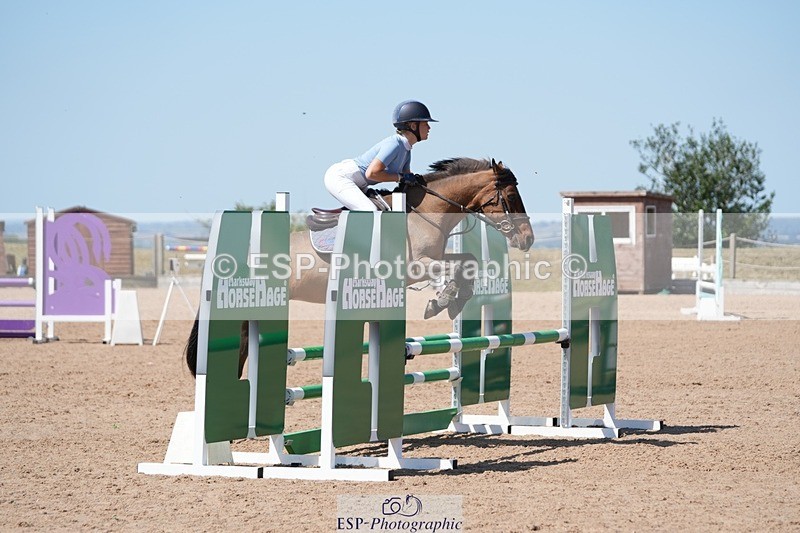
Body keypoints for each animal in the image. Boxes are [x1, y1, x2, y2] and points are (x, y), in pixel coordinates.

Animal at [185, 157, 534, 376]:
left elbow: (468, 263)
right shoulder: (416, 266)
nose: (528, 238)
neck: (424, 213)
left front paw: (448, 301)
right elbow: (457, 269)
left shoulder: (434, 259)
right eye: (511, 196)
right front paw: (443, 300)